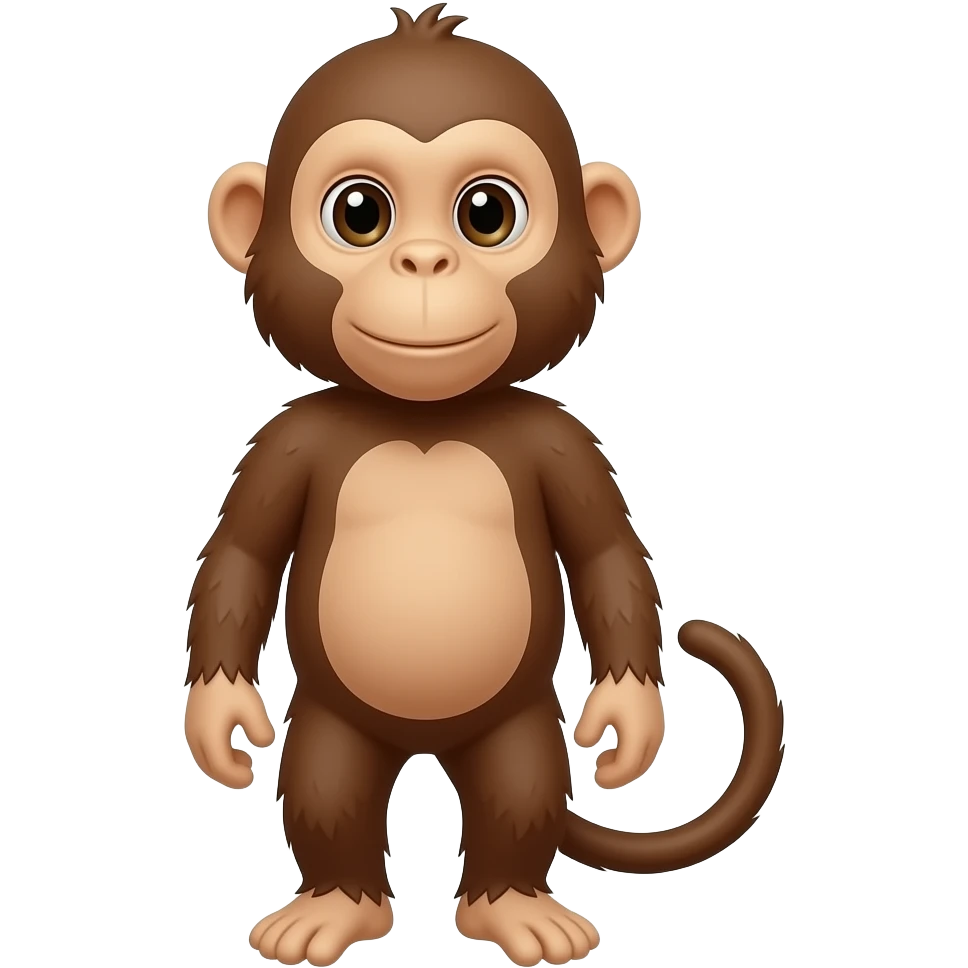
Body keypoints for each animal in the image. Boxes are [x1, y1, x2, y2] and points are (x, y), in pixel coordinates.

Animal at [185, 5, 784, 967]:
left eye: (487, 213)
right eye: (360, 213)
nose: (425, 262)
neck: (428, 417)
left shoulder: (564, 444)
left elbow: (607, 552)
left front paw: (628, 718)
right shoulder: (283, 443)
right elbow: (240, 552)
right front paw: (221, 719)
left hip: (518, 721)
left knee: (519, 788)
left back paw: (515, 909)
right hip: (334, 719)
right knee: (326, 786)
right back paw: (333, 908)